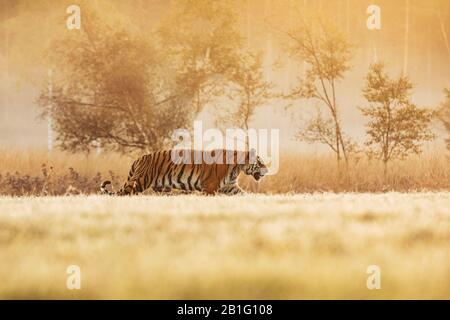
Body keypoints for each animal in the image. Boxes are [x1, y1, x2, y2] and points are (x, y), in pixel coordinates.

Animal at [100, 149, 268, 195]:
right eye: (260, 162)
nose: (267, 170)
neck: (237, 167)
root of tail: (139, 158)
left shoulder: (230, 186)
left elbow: (244, 194)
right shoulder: (210, 187)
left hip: (162, 188)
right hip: (141, 181)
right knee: (123, 194)